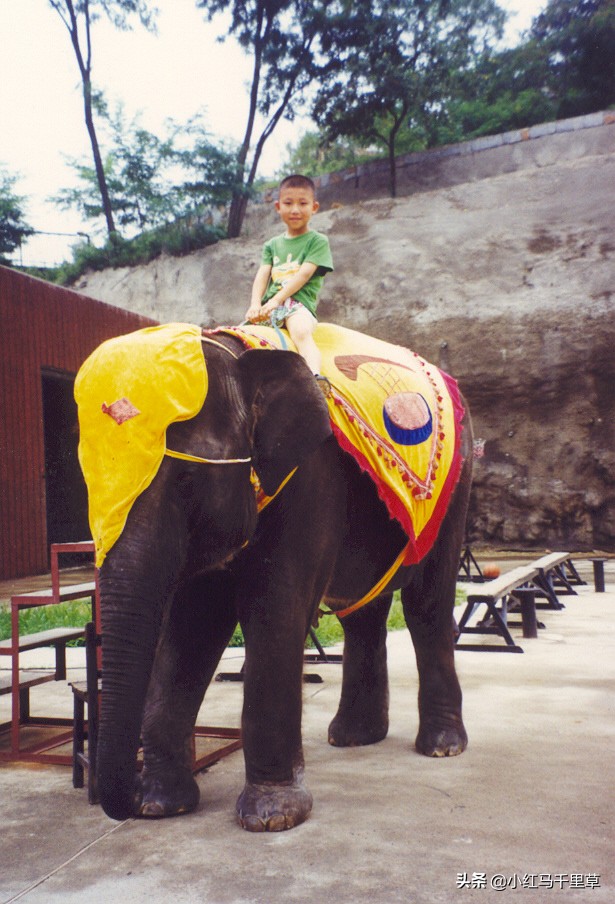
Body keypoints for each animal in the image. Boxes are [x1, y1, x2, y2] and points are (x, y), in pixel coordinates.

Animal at [76, 324, 472, 832]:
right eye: (89, 490)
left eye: (185, 480)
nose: (125, 798)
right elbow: (194, 624)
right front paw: (159, 805)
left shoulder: (312, 473)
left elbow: (275, 606)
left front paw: (272, 817)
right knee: (363, 612)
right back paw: (353, 737)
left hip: (455, 487)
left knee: (427, 605)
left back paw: (442, 747)